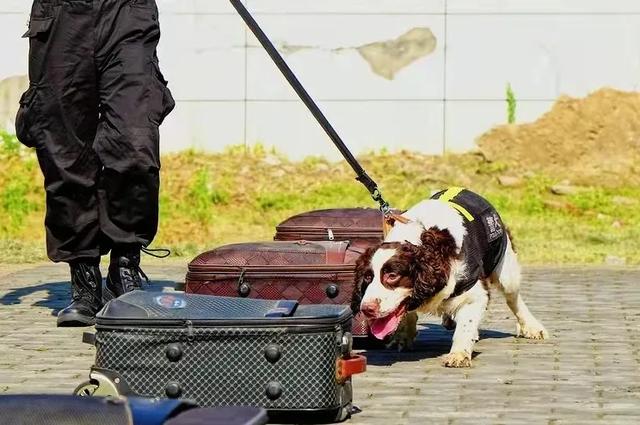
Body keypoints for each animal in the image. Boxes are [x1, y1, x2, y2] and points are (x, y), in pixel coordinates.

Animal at [352, 187, 548, 366]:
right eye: (367, 278)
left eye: (392, 276)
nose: (367, 309)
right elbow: (406, 313)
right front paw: (402, 336)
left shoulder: (475, 291)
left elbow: (466, 324)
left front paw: (459, 354)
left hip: (506, 268)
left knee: (513, 298)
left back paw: (532, 326)